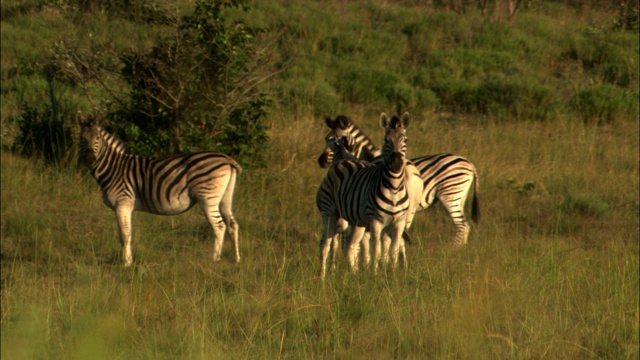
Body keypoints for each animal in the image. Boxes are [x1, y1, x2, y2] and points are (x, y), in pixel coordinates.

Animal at [78, 114, 242, 266]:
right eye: (82, 138)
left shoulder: (123, 203)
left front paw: (126, 263)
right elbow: (125, 233)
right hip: (225, 198)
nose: (89, 158)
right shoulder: (125, 207)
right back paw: (236, 259)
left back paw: (214, 260)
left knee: (219, 226)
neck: (113, 168)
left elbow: (125, 235)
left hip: (208, 198)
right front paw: (128, 261)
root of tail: (226, 158)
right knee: (232, 225)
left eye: (97, 137)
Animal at [316, 112, 416, 278]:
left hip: (358, 221)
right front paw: (374, 276)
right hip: (330, 212)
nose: (396, 163)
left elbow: (393, 250)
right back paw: (323, 277)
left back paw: (352, 274)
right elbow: (376, 250)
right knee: (326, 243)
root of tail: (343, 158)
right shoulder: (375, 221)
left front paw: (392, 276)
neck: (394, 187)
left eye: (405, 140)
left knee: (349, 246)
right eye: (386, 140)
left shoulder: (399, 222)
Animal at [318, 114, 478, 246]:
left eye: (332, 140)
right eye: (326, 138)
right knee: (465, 225)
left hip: (450, 194)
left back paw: (454, 250)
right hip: (459, 196)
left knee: (461, 225)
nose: (321, 161)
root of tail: (470, 164)